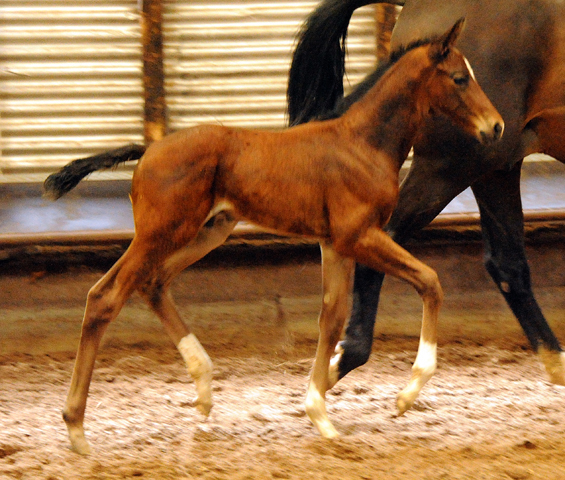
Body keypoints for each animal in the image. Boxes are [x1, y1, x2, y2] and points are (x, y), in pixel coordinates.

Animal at [45, 18, 502, 454]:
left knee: (153, 283)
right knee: (104, 297)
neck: (362, 144)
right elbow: (429, 281)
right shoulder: (358, 236)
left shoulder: (334, 244)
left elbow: (332, 316)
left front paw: (320, 414)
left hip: (206, 232)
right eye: (460, 78)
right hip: (160, 234)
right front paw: (405, 397)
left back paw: (204, 389)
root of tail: (149, 149)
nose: (496, 127)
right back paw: (76, 428)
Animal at [286, 0, 564, 390]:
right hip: (455, 165)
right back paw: (347, 357)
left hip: (495, 164)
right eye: (460, 78)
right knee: (385, 238)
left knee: (507, 264)